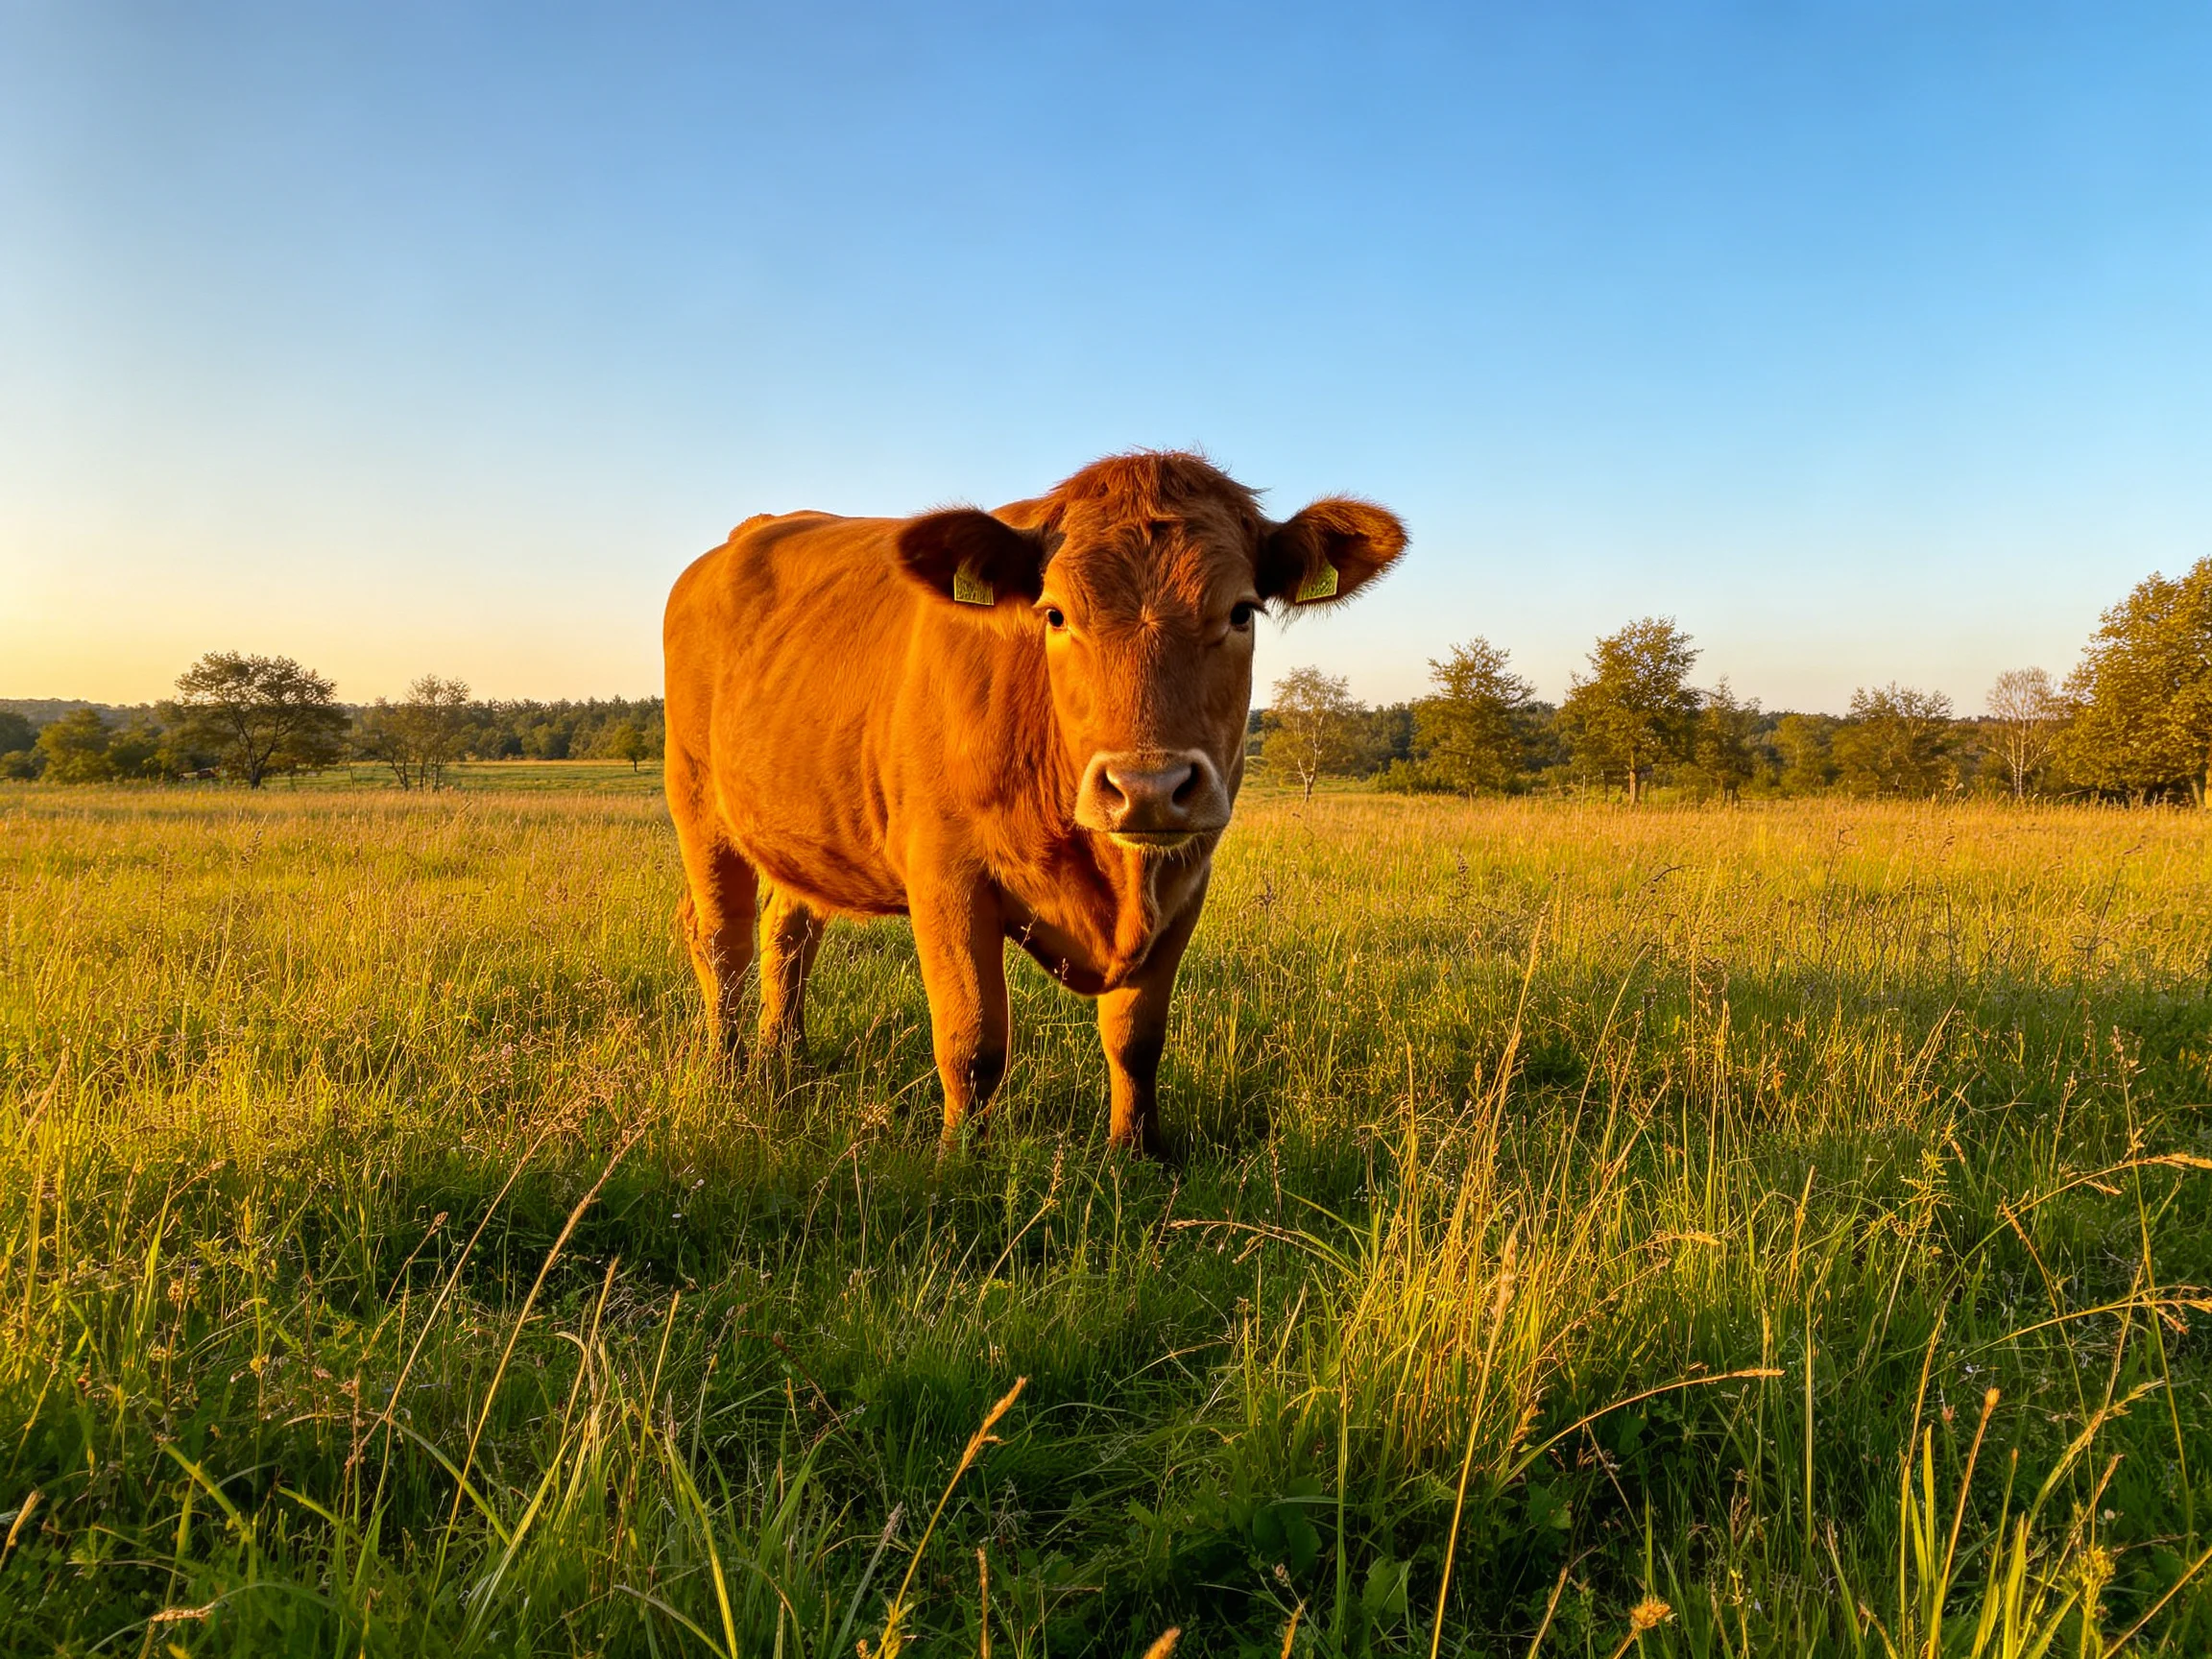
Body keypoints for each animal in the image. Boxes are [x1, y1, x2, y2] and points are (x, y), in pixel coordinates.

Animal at [662, 451, 1407, 1156]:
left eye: (1242, 612)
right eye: (1054, 613)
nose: (1148, 787)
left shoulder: (1186, 880)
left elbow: (1136, 1038)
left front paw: (1138, 1154)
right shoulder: (947, 876)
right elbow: (972, 1044)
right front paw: (960, 1164)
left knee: (787, 935)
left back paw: (786, 1065)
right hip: (696, 802)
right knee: (722, 938)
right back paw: (730, 1076)